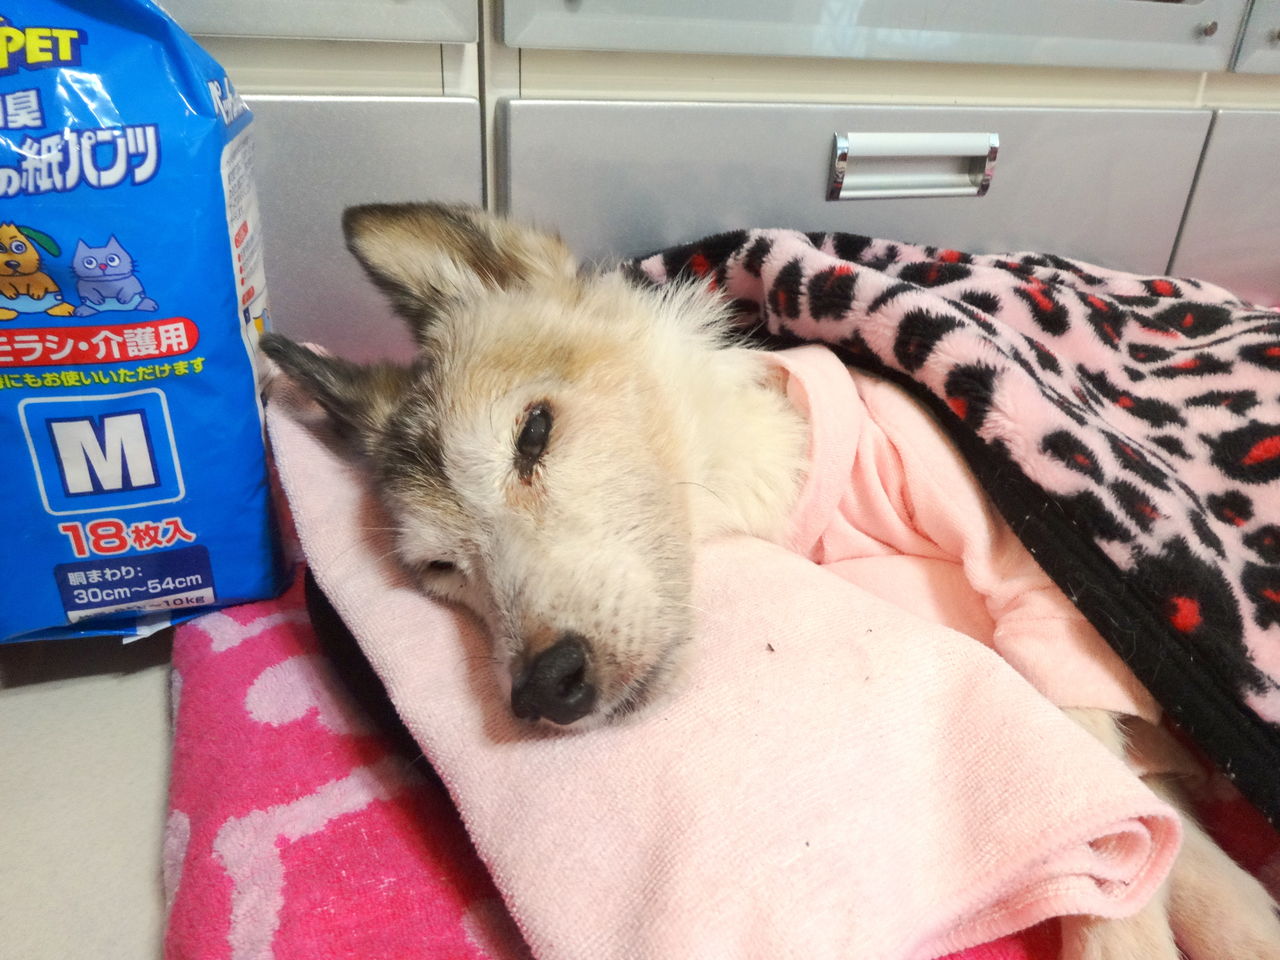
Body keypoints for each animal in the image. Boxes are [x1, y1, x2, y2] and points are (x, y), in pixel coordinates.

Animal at [261, 202, 1280, 960]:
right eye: (439, 569)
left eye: (534, 432)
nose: (544, 688)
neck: (771, 484)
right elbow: (1143, 820)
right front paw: (1238, 911)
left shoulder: (1043, 602)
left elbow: (1127, 835)